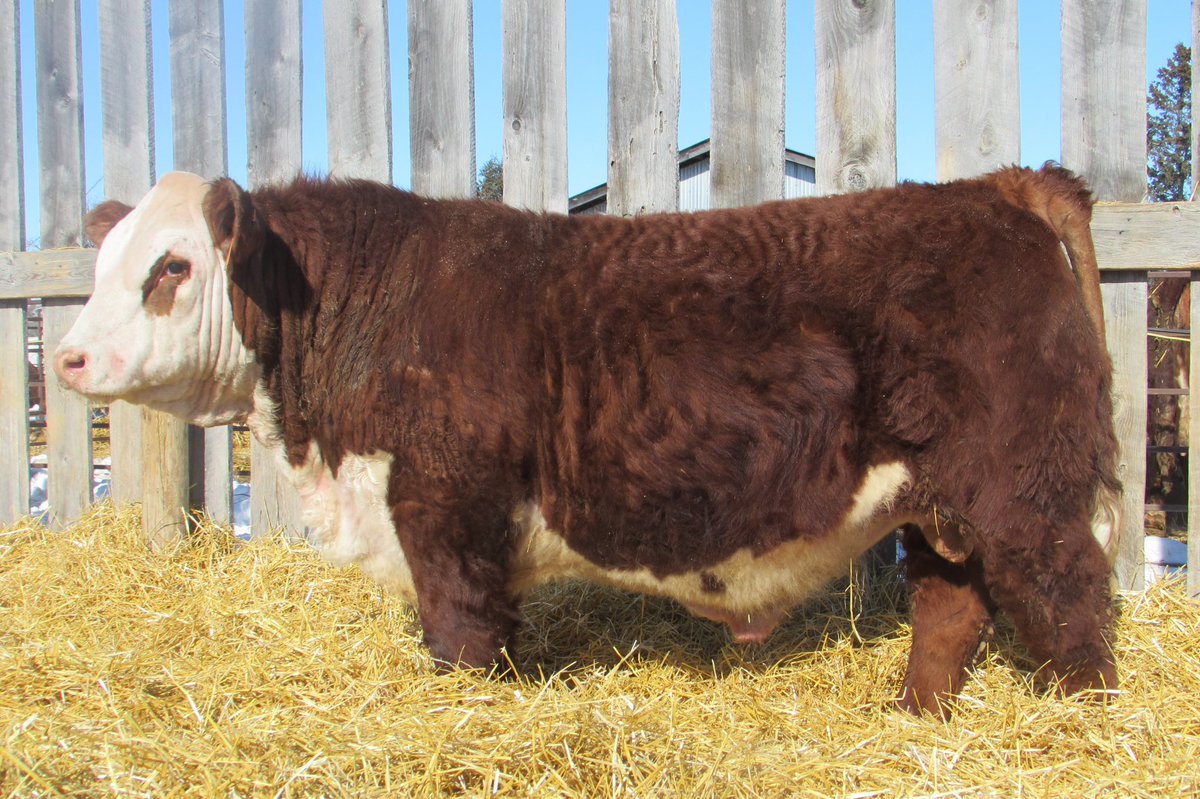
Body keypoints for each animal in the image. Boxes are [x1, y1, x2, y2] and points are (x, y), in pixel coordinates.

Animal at [54, 165, 1122, 717]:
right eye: (103, 263)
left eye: (169, 267)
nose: (66, 357)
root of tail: (994, 188)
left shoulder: (445, 508)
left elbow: (460, 634)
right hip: (942, 498)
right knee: (952, 602)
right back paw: (915, 711)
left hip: (1023, 487)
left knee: (1068, 594)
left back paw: (1087, 719)